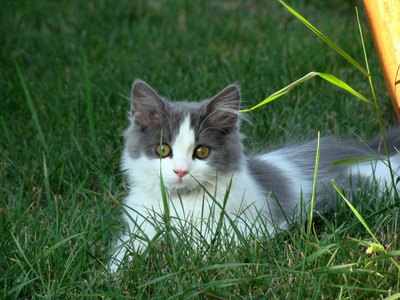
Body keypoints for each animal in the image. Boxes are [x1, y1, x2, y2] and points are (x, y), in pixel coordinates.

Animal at [109, 78, 400, 270]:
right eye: (163, 149)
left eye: (201, 152)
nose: (181, 170)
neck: (182, 203)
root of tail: (367, 149)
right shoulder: (140, 226)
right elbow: (126, 250)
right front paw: (117, 271)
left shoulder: (246, 229)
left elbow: (202, 251)